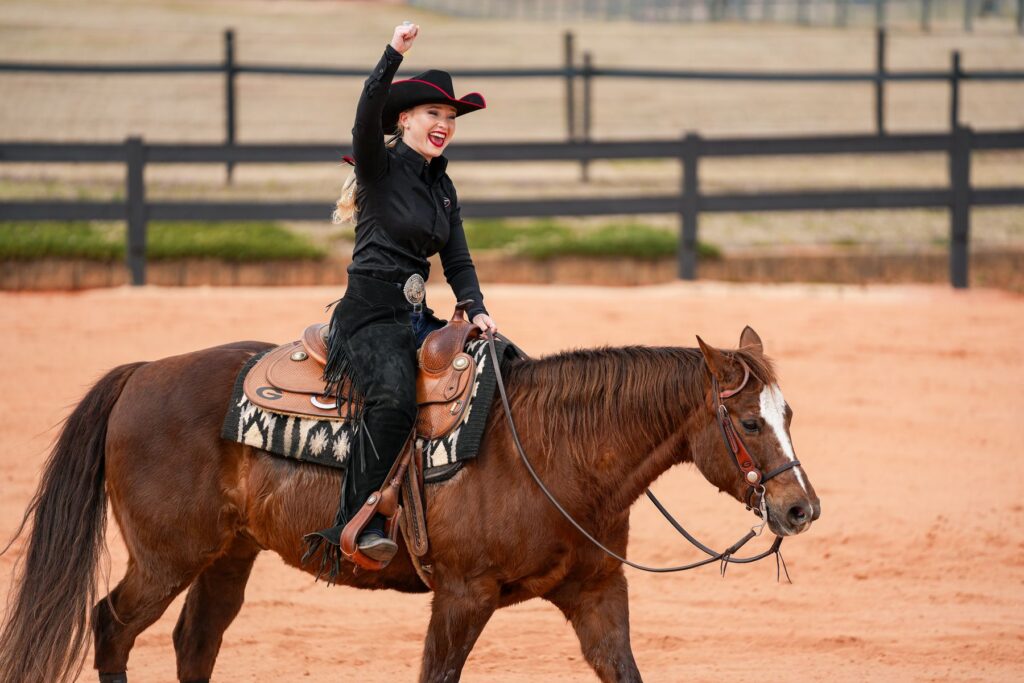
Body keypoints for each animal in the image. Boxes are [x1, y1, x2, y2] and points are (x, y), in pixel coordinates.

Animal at [0, 325, 815, 683]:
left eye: (789, 412)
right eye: (748, 422)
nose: (800, 508)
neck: (550, 451)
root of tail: (140, 373)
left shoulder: (595, 591)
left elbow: (624, 670)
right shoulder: (461, 596)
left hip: (229, 556)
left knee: (194, 644)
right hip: (165, 557)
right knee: (111, 626)